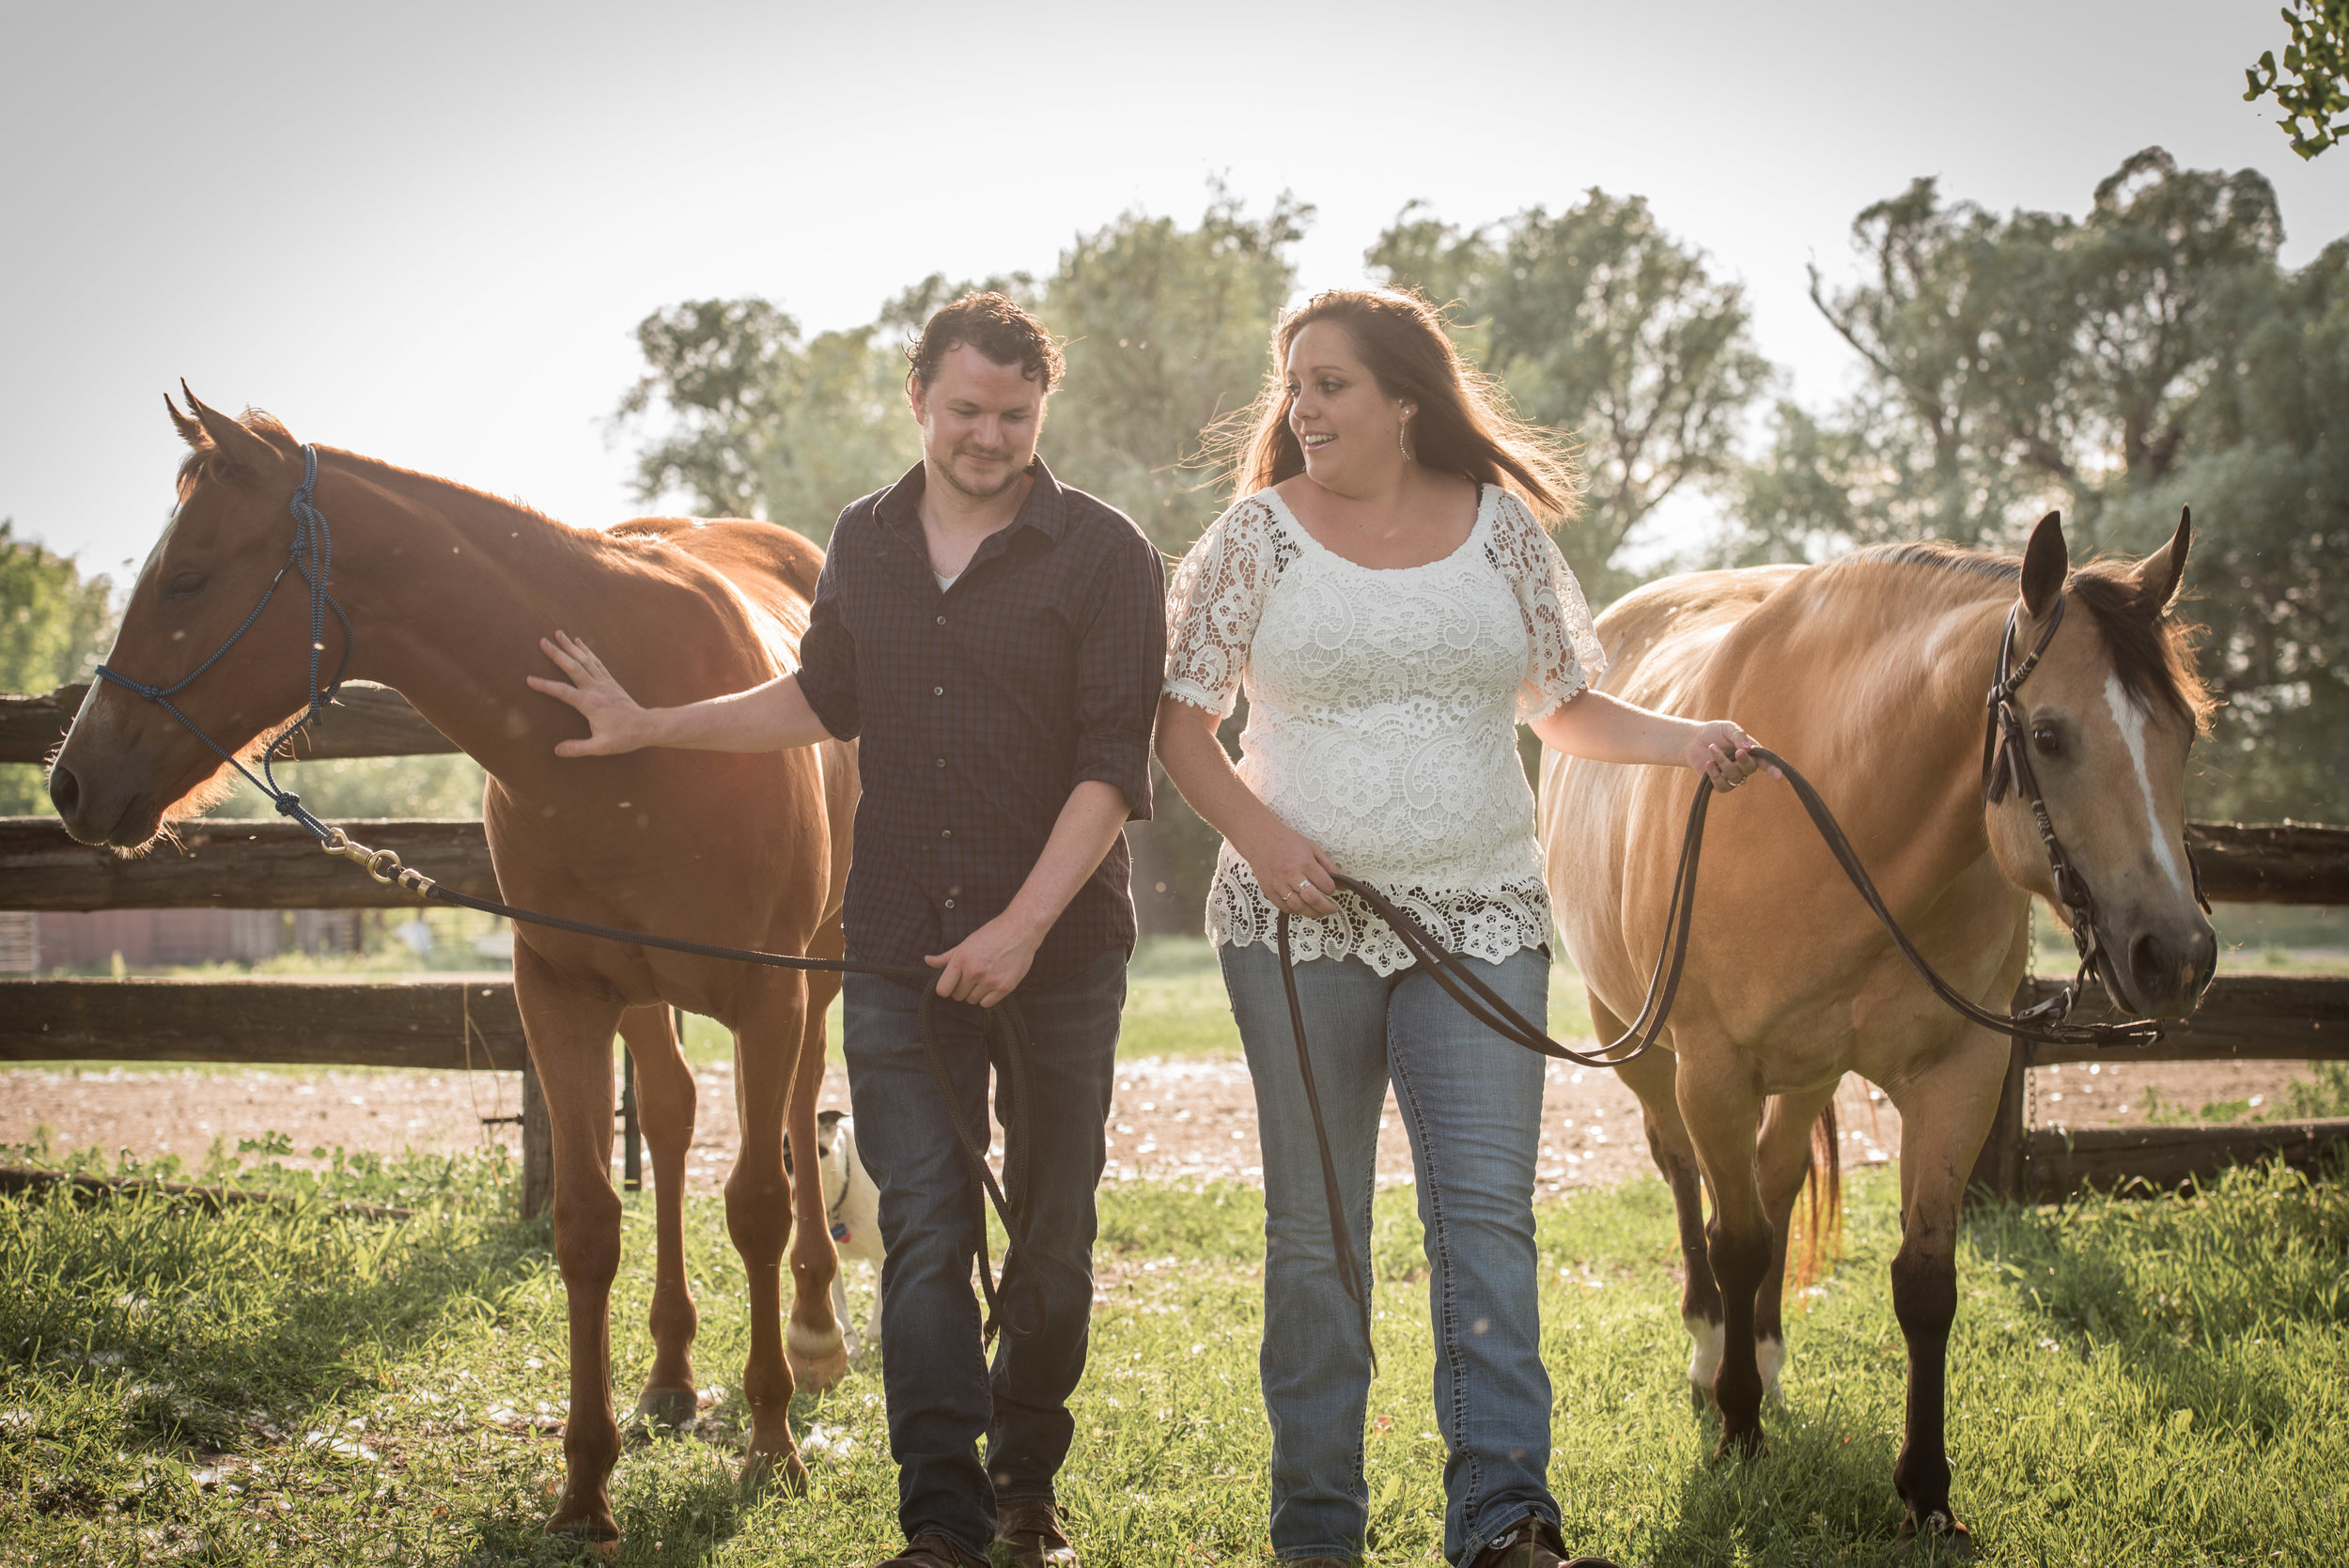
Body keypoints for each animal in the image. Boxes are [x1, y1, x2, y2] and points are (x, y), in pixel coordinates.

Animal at [48, 394, 864, 1540]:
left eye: (190, 578)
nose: (72, 782)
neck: (630, 719)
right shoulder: (562, 993)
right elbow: (586, 1223)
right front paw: (584, 1488)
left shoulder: (764, 989)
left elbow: (755, 1202)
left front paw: (772, 1446)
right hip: (648, 997)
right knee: (668, 1118)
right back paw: (668, 1373)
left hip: (814, 971)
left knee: (795, 1119)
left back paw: (815, 1331)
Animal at [1541, 511, 2217, 1540]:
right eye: (2049, 735)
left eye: (2183, 734)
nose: (2175, 955)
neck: (1837, 815)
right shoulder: (1713, 1072)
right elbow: (1735, 1241)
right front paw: (1739, 1428)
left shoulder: (1961, 1073)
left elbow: (1924, 1282)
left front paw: (1928, 1492)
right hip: (1642, 1047)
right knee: (1689, 1180)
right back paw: (1712, 1348)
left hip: (1805, 1072)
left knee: (1774, 1183)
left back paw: (1763, 1349)